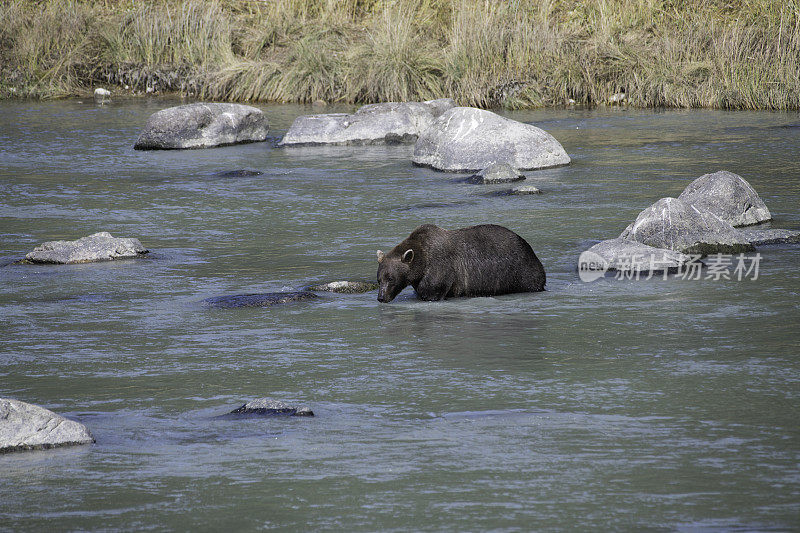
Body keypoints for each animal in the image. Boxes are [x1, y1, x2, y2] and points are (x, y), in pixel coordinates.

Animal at [378, 222, 548, 302]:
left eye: (391, 278)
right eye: (379, 279)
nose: (381, 297)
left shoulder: (440, 266)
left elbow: (432, 290)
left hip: (520, 272)